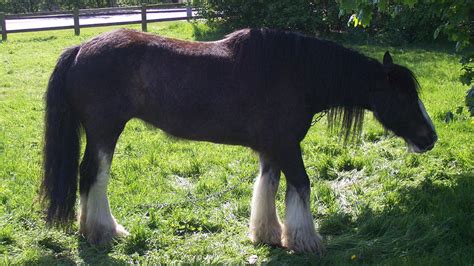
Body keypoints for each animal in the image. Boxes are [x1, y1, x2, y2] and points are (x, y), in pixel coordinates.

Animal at [40, 28, 436, 255]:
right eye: (402, 97)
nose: (430, 138)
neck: (296, 72)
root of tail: (80, 48)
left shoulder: (273, 148)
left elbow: (269, 185)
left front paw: (268, 234)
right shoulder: (288, 146)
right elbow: (301, 186)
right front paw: (306, 241)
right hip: (105, 131)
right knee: (94, 175)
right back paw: (104, 232)